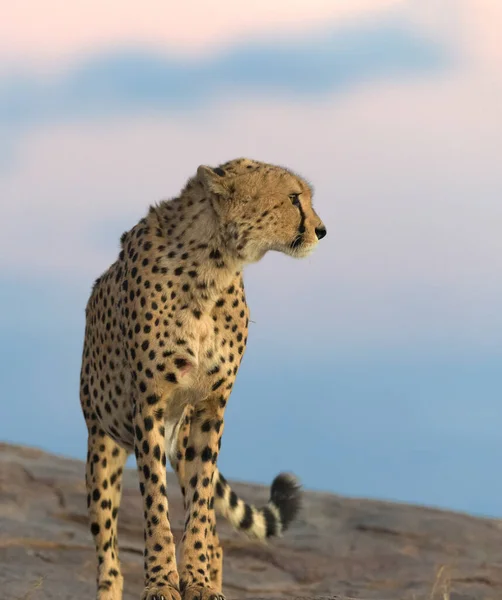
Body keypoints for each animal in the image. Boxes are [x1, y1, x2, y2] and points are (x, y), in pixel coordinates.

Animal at [80, 157, 328, 596]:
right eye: (294, 198)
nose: (321, 229)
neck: (213, 266)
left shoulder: (209, 409)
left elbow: (199, 509)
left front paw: (198, 583)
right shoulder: (149, 406)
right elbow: (155, 508)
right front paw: (162, 582)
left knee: (214, 533)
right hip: (101, 445)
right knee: (108, 553)